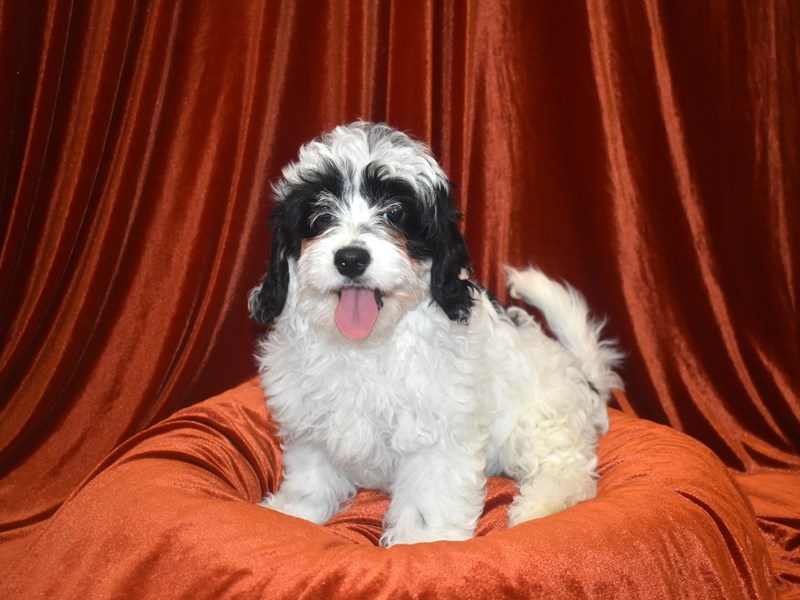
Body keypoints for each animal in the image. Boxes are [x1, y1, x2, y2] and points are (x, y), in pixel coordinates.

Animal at [247, 119, 620, 548]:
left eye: (394, 213)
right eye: (321, 216)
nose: (351, 258)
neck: (368, 343)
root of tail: (584, 375)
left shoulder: (438, 428)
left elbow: (428, 494)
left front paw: (422, 542)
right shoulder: (311, 421)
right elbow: (312, 474)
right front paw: (294, 512)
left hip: (541, 417)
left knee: (569, 468)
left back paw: (540, 506)